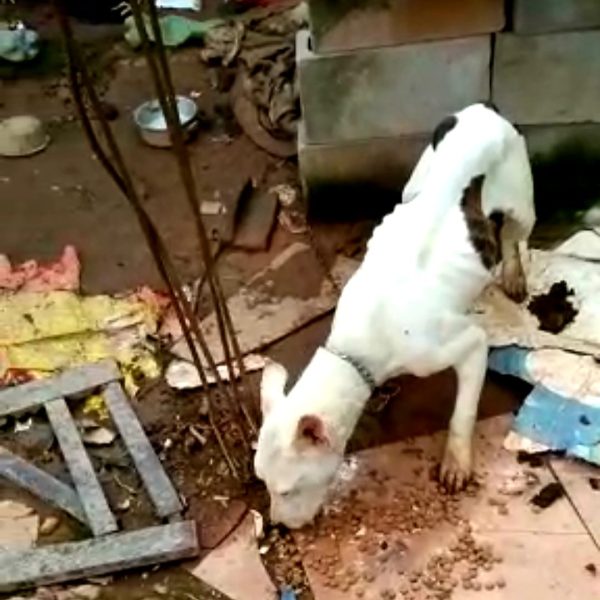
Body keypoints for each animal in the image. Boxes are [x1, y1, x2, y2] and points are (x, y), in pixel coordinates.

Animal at [254, 102, 535, 529]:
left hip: (521, 204)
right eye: (263, 483)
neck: (357, 350)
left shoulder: (466, 346)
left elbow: (463, 413)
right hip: (416, 182)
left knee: (512, 236)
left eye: (287, 490)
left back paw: (514, 274)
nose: (277, 527)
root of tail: (483, 110)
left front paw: (456, 463)